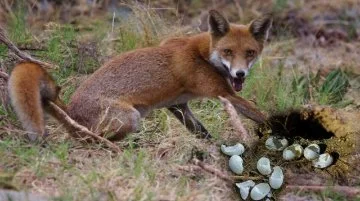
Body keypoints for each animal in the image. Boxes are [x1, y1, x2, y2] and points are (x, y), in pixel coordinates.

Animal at [7, 10, 272, 141]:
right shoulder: (222, 93)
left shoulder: (178, 105)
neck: (203, 55)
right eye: (228, 52)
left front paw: (214, 150)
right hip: (130, 118)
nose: (240, 73)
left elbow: (201, 132)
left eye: (250, 53)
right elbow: (262, 116)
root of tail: (71, 113)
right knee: (95, 141)